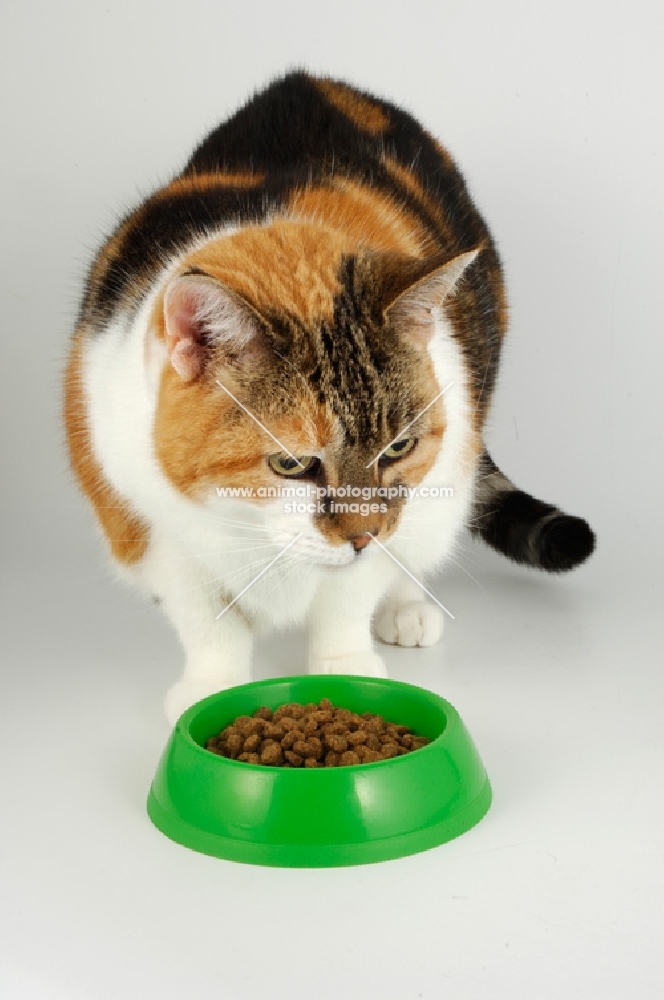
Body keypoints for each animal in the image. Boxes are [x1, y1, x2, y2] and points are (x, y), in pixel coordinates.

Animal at [65, 72, 592, 728]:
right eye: (291, 463)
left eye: (399, 447)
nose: (363, 535)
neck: (250, 523)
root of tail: (315, 83)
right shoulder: (145, 521)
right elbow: (205, 616)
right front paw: (211, 686)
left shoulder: (402, 505)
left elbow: (348, 596)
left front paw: (346, 667)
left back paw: (406, 605)